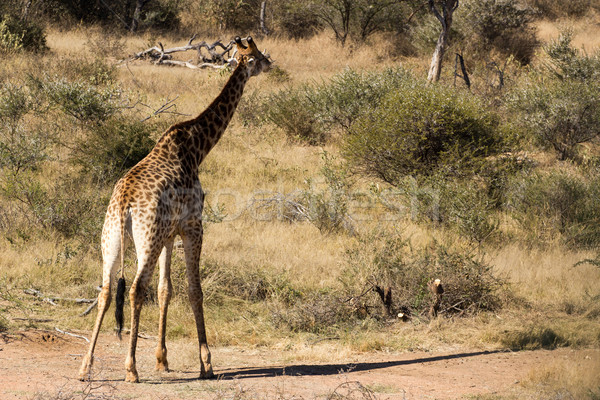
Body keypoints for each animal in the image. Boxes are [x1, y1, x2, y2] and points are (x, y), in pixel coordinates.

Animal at [77, 36, 272, 382]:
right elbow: (195, 290)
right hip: (146, 240)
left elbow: (166, 290)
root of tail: (124, 203)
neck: (198, 147)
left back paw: (86, 367)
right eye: (257, 56)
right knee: (136, 289)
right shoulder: (193, 225)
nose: (271, 64)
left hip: (111, 238)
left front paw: (162, 359)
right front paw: (206, 363)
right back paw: (130, 368)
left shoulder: (169, 234)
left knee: (106, 290)